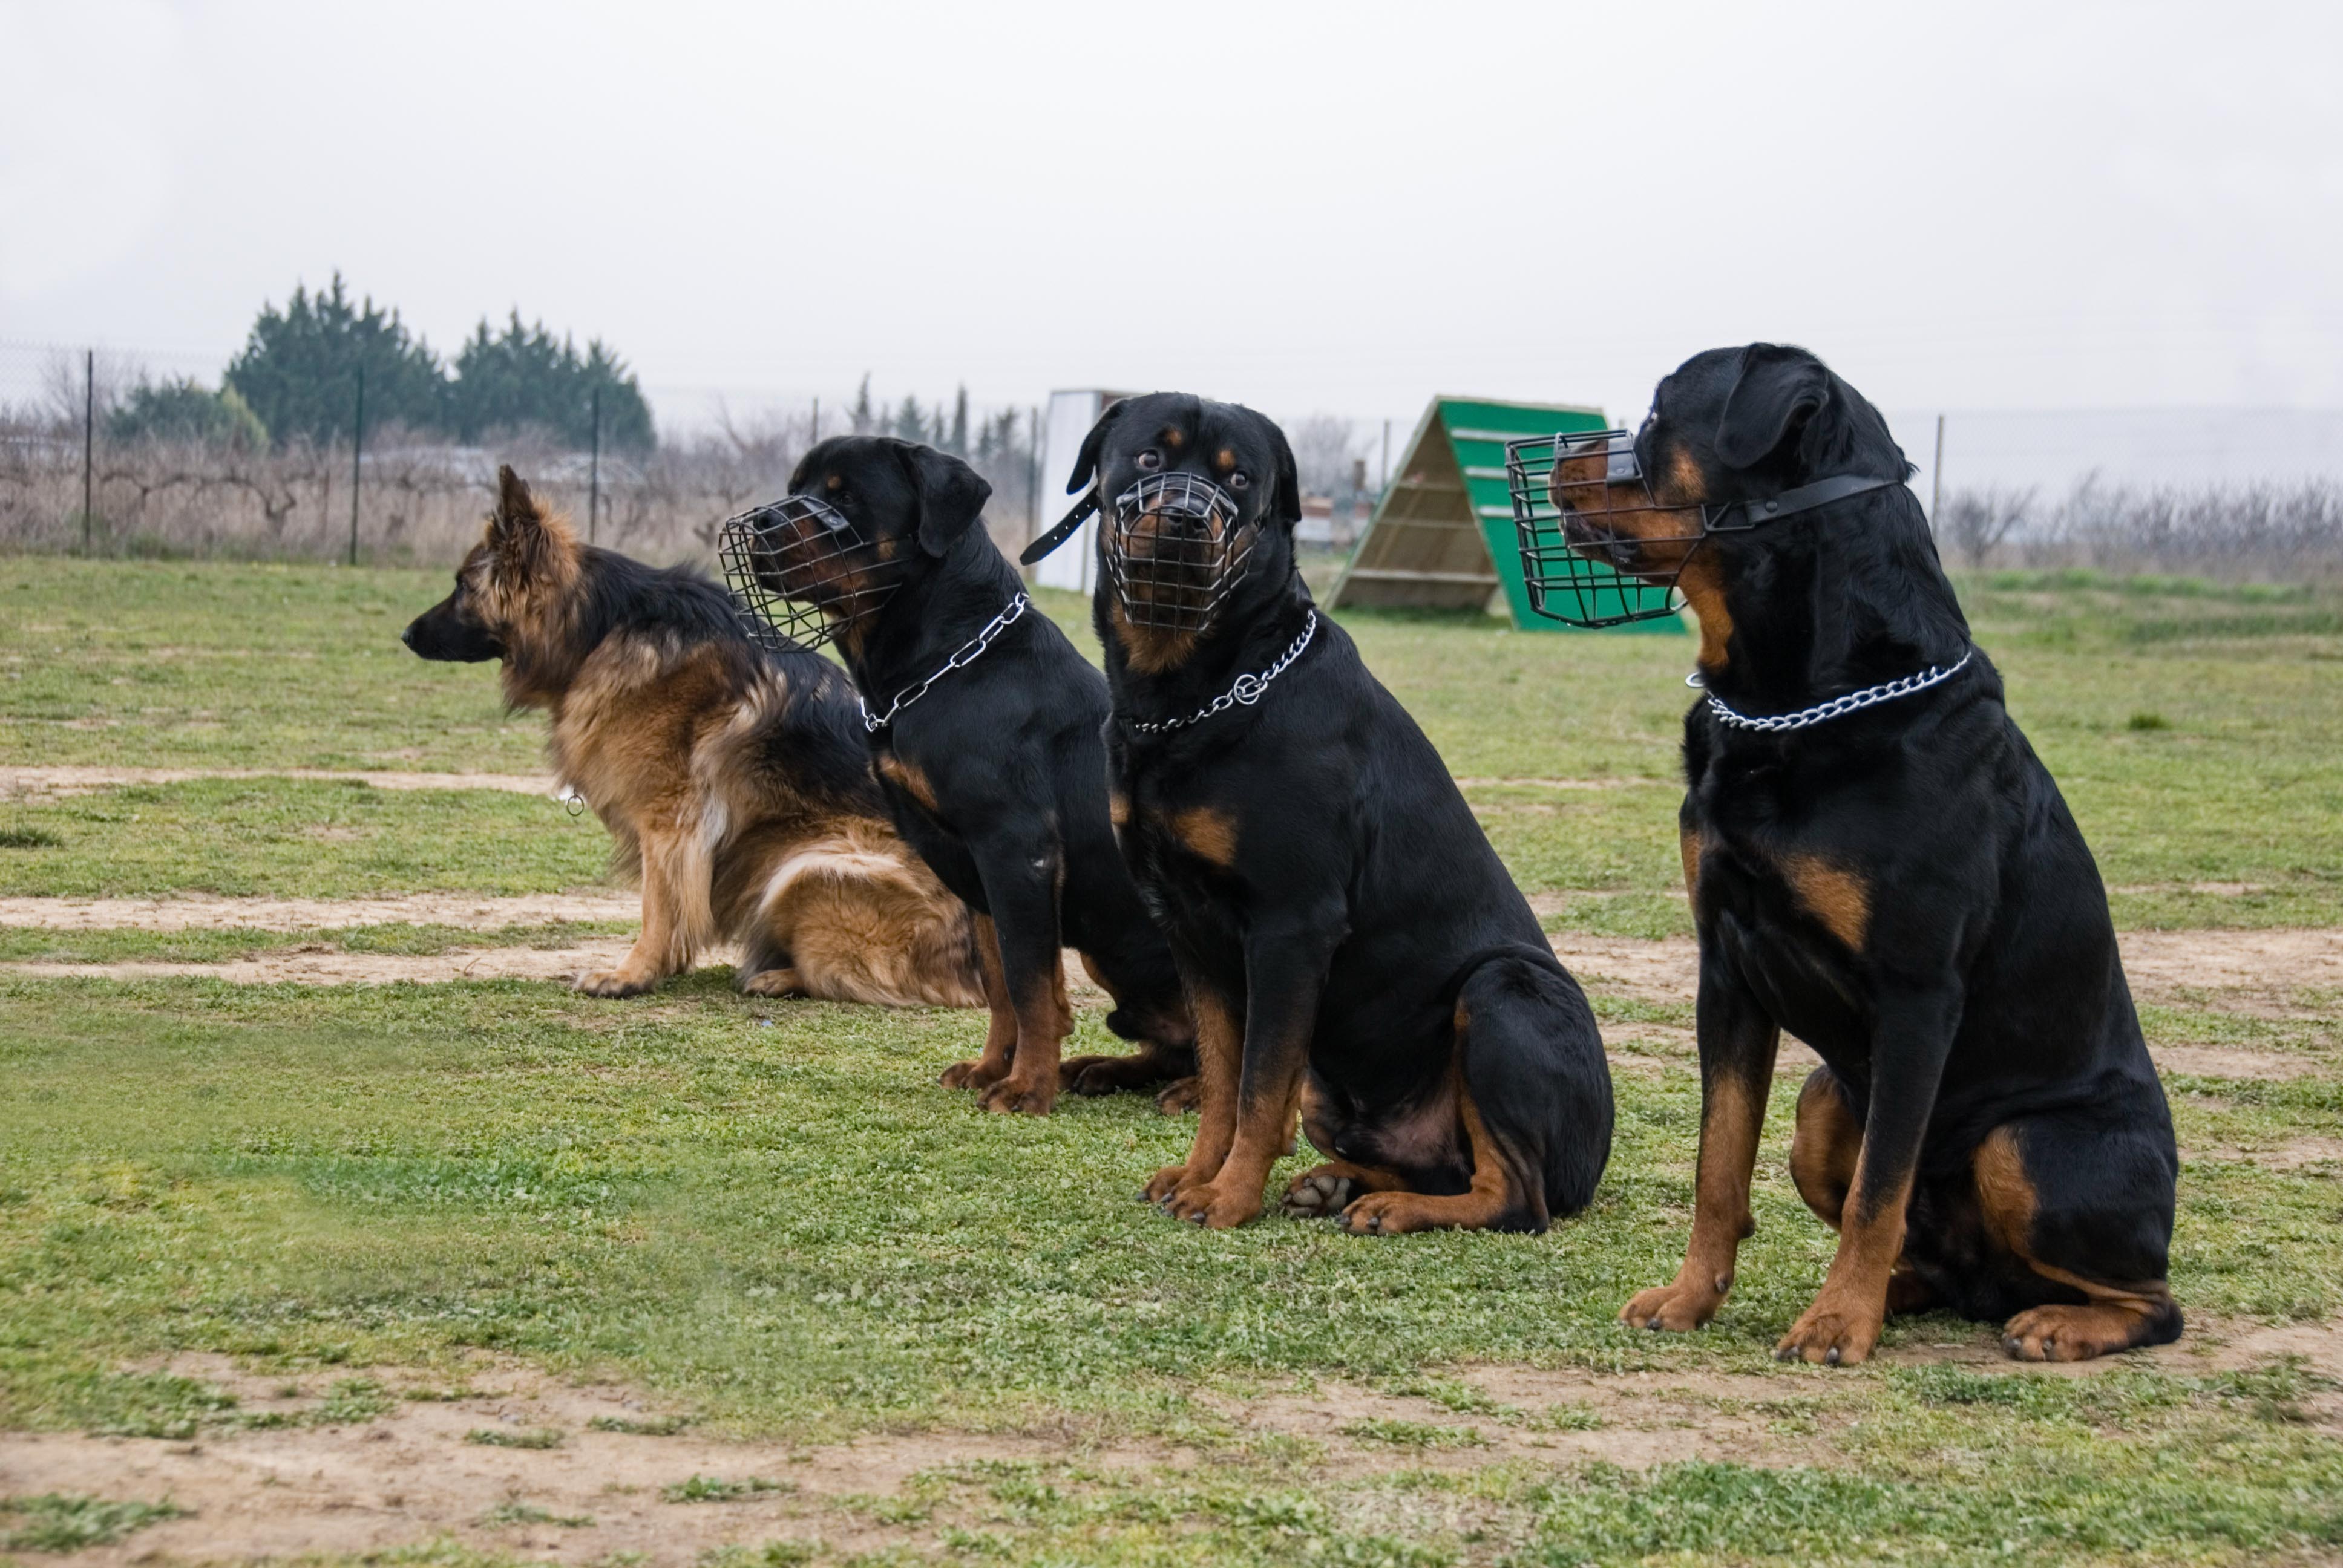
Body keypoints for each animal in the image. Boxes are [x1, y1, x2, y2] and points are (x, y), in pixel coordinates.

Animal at [402, 464, 979, 1003]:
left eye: (462, 586)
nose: (405, 635)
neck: (598, 630)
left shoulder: (671, 818)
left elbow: (659, 906)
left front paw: (632, 974)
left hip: (806, 869)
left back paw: (778, 976)